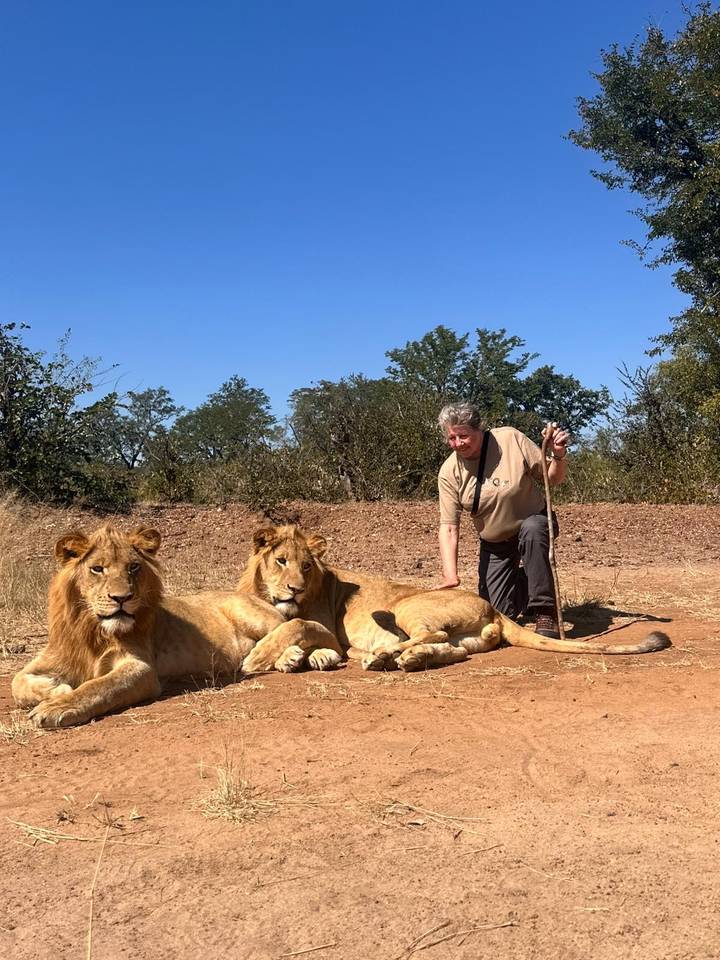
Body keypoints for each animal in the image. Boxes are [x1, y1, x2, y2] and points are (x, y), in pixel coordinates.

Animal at [12, 524, 344, 728]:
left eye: (133, 567)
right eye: (97, 569)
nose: (122, 598)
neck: (91, 630)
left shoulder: (142, 669)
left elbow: (100, 686)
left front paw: (56, 707)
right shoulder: (50, 658)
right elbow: (18, 681)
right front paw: (57, 689)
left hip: (253, 614)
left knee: (299, 625)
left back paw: (309, 655)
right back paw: (291, 658)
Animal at [238, 524, 671, 673]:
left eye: (306, 567)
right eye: (281, 561)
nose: (294, 588)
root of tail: (494, 608)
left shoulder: (326, 628)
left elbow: (296, 627)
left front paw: (260, 658)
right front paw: (290, 658)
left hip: (407, 607)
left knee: (431, 636)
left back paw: (383, 656)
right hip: (466, 639)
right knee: (451, 647)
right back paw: (406, 660)